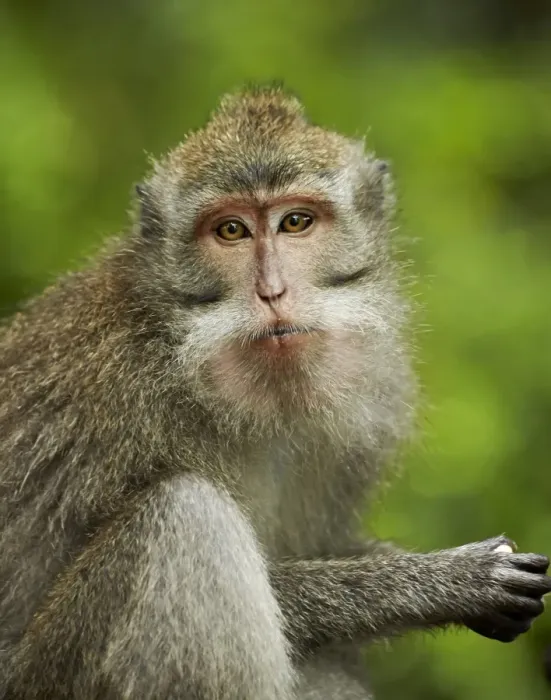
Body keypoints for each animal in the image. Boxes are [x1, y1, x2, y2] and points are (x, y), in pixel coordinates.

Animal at [0, 84, 550, 700]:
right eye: (231, 231)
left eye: (296, 222)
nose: (272, 291)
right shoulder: (128, 397)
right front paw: (443, 581)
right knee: (186, 516)